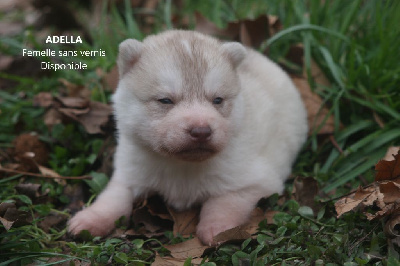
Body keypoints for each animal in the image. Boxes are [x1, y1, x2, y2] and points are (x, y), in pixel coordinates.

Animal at [68, 29, 306, 245]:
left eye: (218, 100)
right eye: (165, 100)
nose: (201, 131)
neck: (182, 165)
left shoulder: (256, 181)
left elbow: (226, 201)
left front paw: (217, 229)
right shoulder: (130, 169)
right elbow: (114, 196)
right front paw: (92, 218)